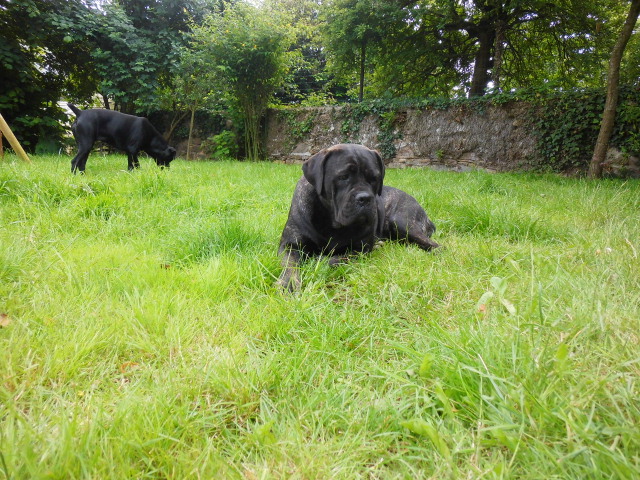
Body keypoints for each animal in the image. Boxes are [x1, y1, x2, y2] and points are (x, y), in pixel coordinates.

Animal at [280, 143, 440, 288]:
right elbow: (290, 265)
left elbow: (334, 259)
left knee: (436, 246)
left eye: (374, 178)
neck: (330, 220)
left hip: (402, 222)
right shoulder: (290, 245)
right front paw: (289, 284)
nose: (365, 198)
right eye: (343, 176)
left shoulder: (360, 249)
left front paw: (320, 259)